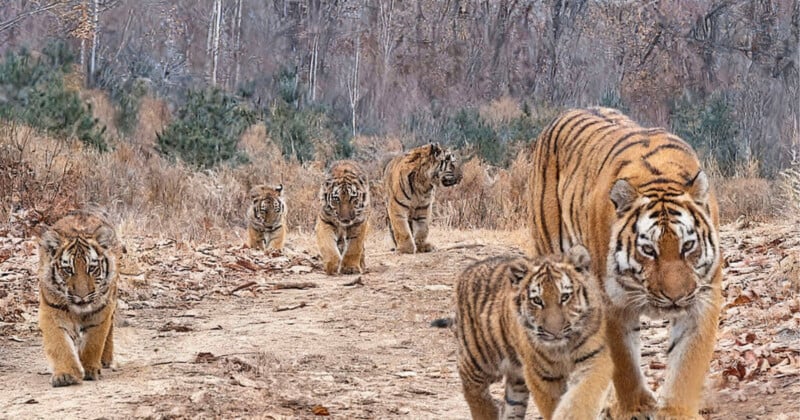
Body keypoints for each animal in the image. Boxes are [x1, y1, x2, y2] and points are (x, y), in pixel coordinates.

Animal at [37, 210, 122, 387]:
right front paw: (65, 375)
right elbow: (59, 345)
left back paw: (105, 360)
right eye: (68, 270)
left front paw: (90, 369)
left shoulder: (101, 312)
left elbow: (93, 342)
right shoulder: (51, 312)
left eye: (92, 268)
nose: (82, 296)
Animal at [432, 245, 611, 420]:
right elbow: (552, 405)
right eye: (537, 300)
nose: (554, 332)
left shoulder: (593, 360)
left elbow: (581, 398)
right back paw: (487, 411)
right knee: (472, 389)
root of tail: (467, 270)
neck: (562, 348)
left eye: (565, 297)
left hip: (516, 379)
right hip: (477, 359)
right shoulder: (541, 376)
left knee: (511, 405)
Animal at [527, 107, 722, 419]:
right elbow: (624, 362)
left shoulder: (702, 298)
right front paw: (636, 407)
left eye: (688, 246)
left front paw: (676, 411)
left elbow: (687, 363)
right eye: (648, 250)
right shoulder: (611, 304)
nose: (675, 297)